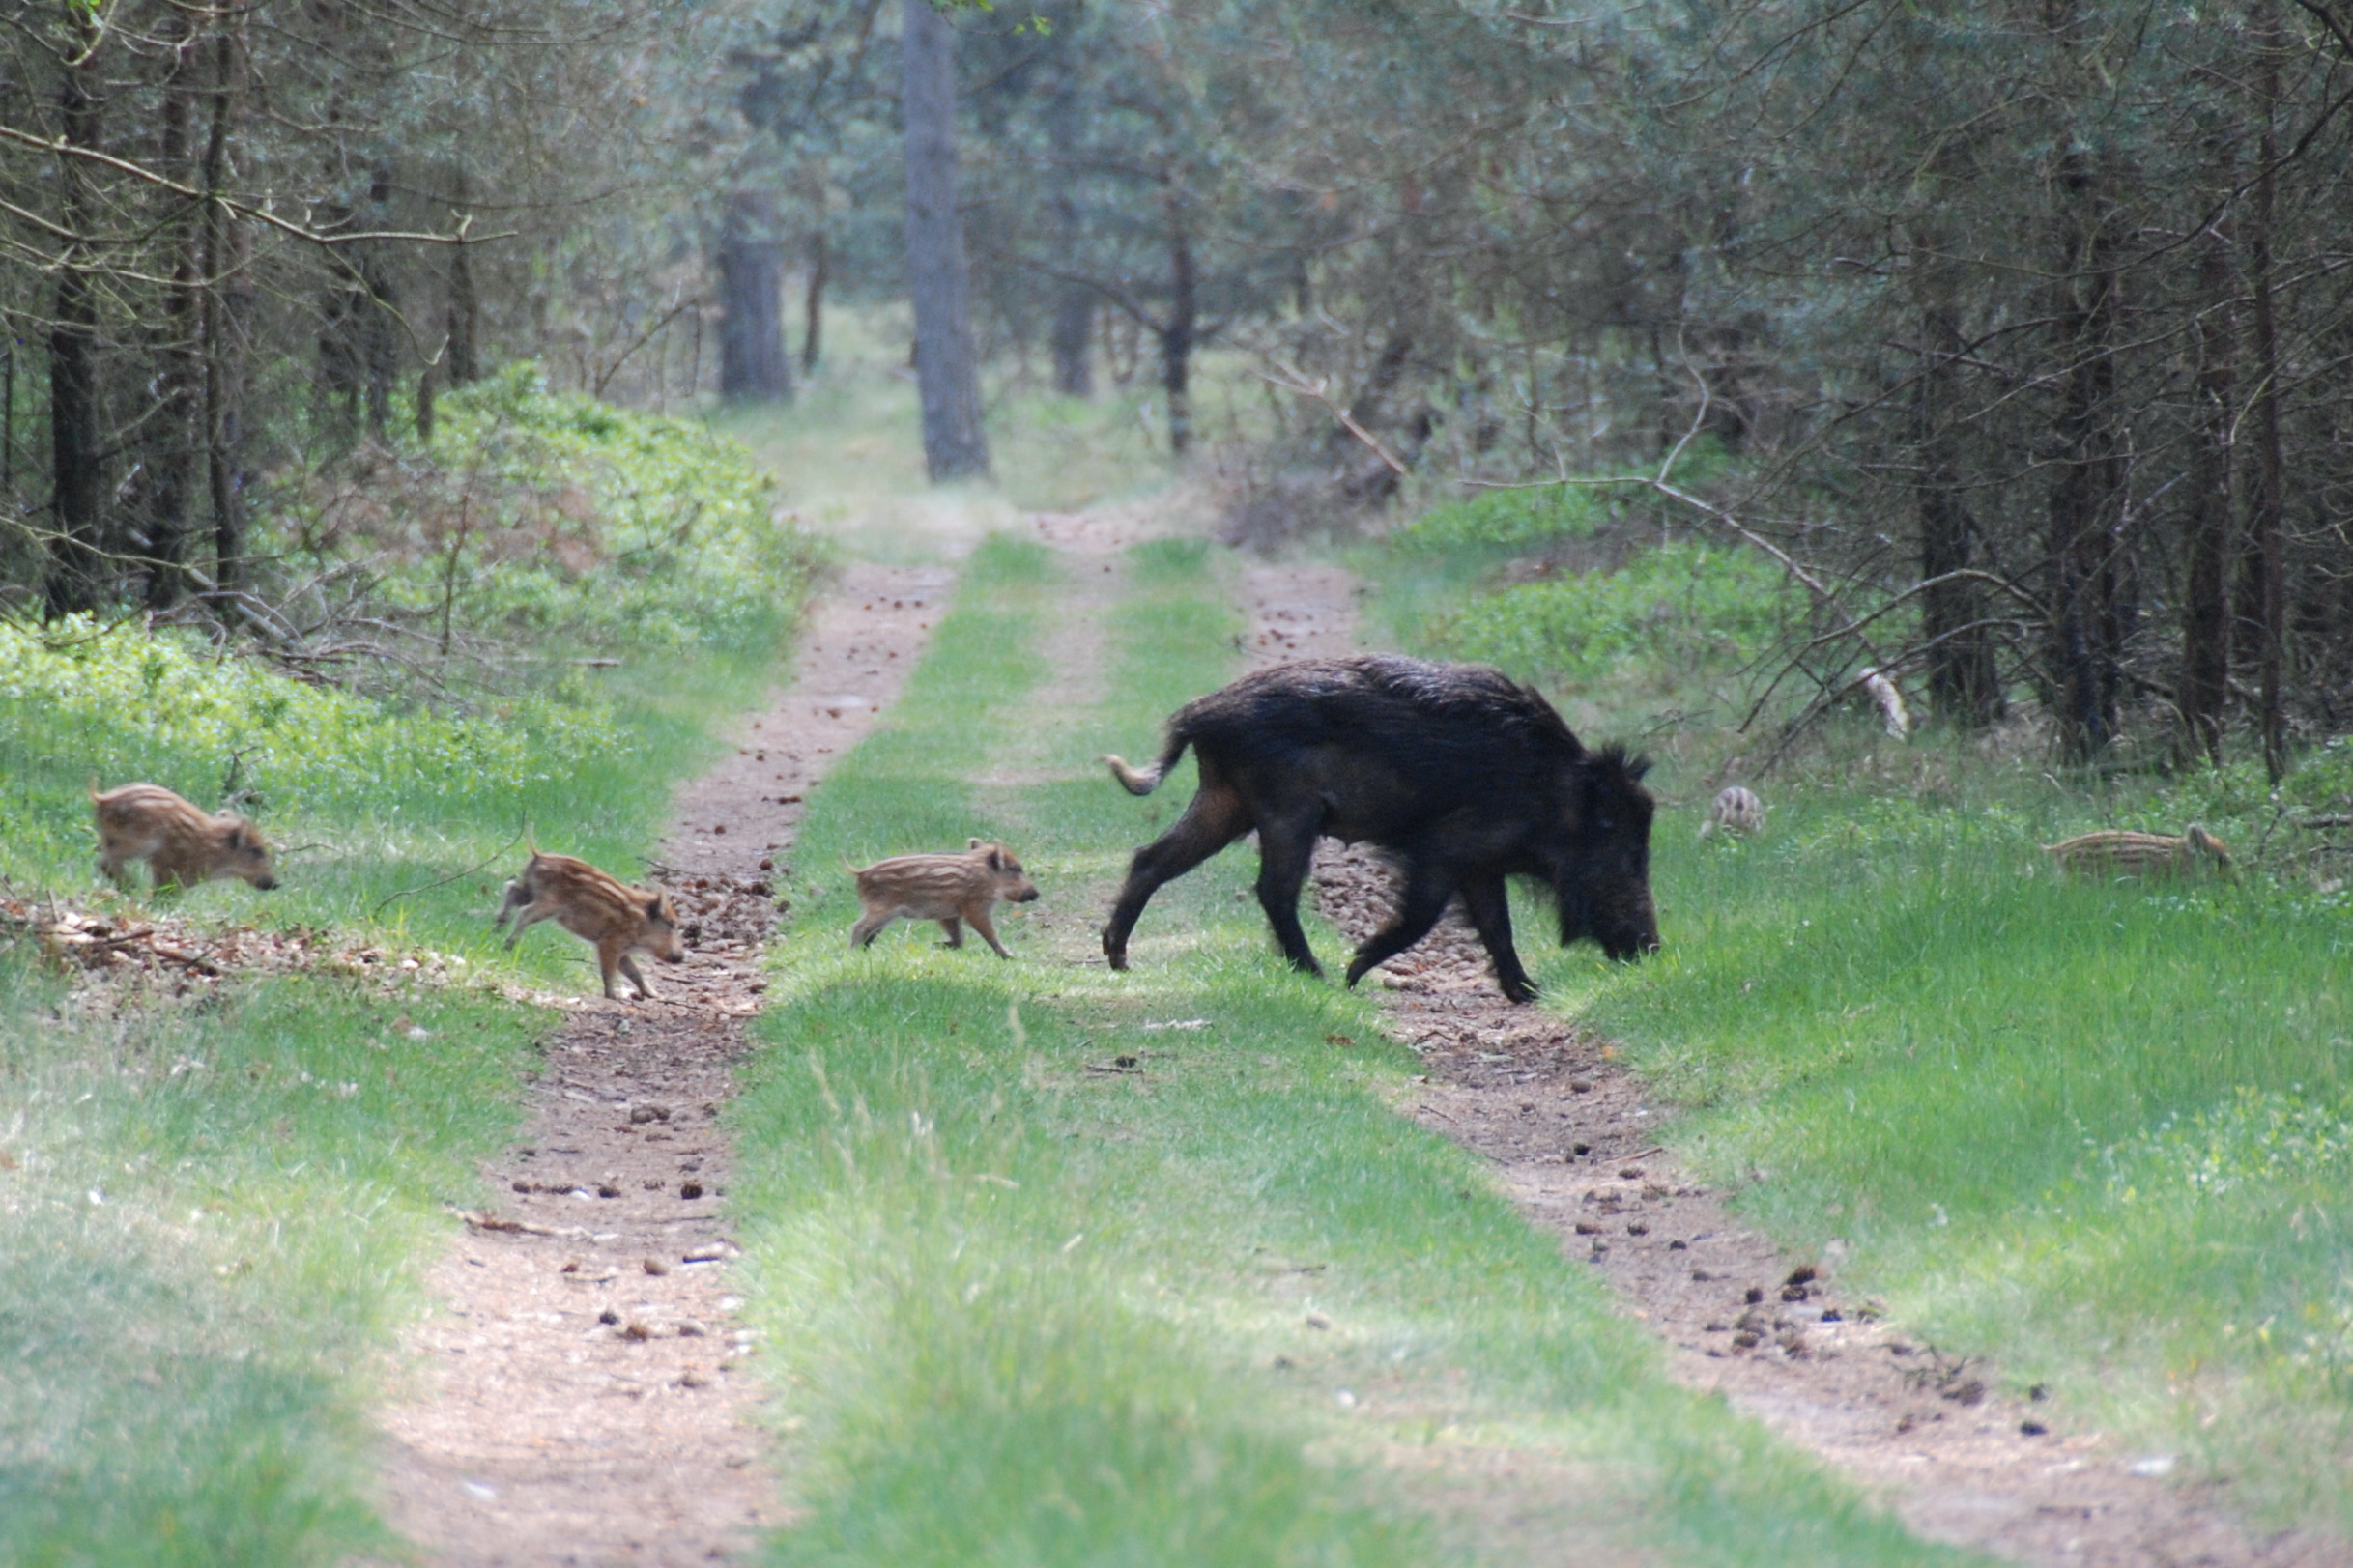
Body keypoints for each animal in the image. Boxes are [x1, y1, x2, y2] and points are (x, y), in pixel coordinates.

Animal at [89, 779, 279, 891]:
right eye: (257, 850)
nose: (277, 884)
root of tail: (103, 799)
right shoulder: (171, 871)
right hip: (140, 842)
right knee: (105, 862)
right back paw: (133, 886)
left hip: (110, 838)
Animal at [494, 845, 685, 1000]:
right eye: (671, 925)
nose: (681, 958)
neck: (641, 922)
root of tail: (538, 856)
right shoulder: (610, 943)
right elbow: (610, 971)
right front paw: (613, 996)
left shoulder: (622, 950)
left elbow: (634, 972)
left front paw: (654, 995)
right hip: (549, 904)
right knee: (524, 912)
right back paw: (509, 943)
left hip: (529, 891)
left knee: (511, 888)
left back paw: (499, 926)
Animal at [847, 838, 1041, 958]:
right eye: (1016, 868)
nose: (1036, 893)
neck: (989, 876)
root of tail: (861, 873)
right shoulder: (976, 908)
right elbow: (989, 934)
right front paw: (1010, 956)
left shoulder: (949, 915)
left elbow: (959, 939)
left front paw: (936, 945)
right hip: (881, 908)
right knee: (859, 927)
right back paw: (854, 952)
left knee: (871, 932)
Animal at [1101, 654, 1658, 1002]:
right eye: (1622, 847)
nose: (1649, 947)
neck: (1551, 796)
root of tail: (1201, 714)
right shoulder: (1442, 850)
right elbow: (1425, 917)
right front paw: (1354, 971)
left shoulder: (1480, 865)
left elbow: (1497, 927)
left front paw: (1530, 994)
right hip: (1287, 810)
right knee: (1274, 889)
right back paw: (1319, 975)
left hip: (1226, 801)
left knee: (1152, 858)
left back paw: (1118, 958)